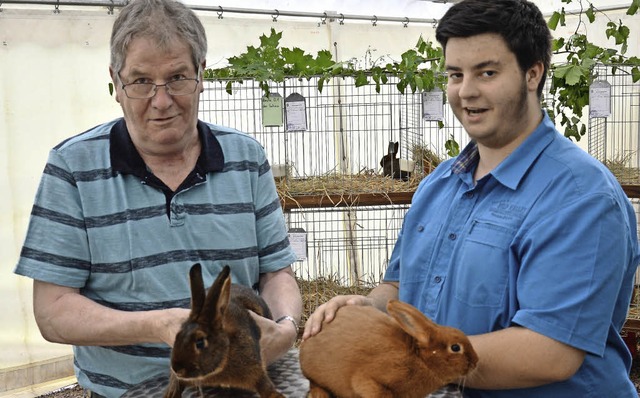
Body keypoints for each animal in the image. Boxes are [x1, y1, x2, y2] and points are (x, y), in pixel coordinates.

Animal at [164, 264, 284, 398]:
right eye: (177, 336)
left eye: (200, 342)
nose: (177, 369)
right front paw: (170, 393)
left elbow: (264, 385)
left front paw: (276, 395)